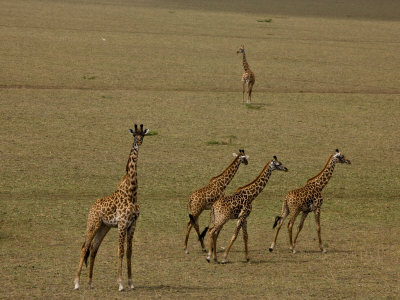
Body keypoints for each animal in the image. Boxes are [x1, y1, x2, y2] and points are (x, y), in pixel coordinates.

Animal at [74, 123, 149, 290]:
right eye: (134, 135)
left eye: (143, 135)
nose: (139, 142)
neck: (131, 192)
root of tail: (92, 207)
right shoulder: (122, 224)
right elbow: (120, 251)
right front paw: (120, 284)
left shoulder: (132, 224)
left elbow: (129, 252)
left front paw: (131, 283)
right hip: (93, 223)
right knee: (84, 247)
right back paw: (76, 283)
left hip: (104, 227)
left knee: (94, 248)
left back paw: (90, 283)